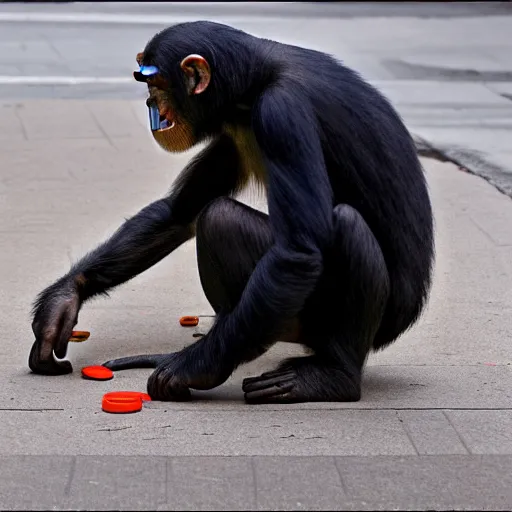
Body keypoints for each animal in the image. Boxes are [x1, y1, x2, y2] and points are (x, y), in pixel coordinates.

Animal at [28, 21, 434, 404]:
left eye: (154, 82)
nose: (148, 103)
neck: (251, 86)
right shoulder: (231, 131)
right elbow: (180, 212)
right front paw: (61, 303)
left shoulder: (281, 113)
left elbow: (297, 250)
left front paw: (193, 367)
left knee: (299, 222)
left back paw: (331, 376)